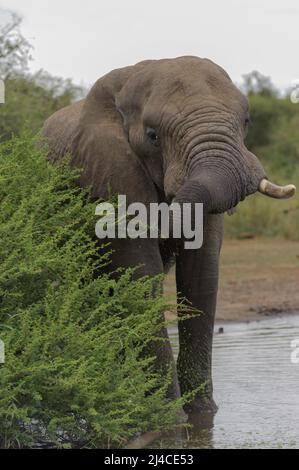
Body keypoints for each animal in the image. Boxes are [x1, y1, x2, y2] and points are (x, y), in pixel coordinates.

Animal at [41, 56, 296, 414]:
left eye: (246, 121)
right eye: (152, 136)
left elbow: (201, 277)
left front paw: (202, 414)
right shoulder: (109, 172)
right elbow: (139, 278)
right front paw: (167, 418)